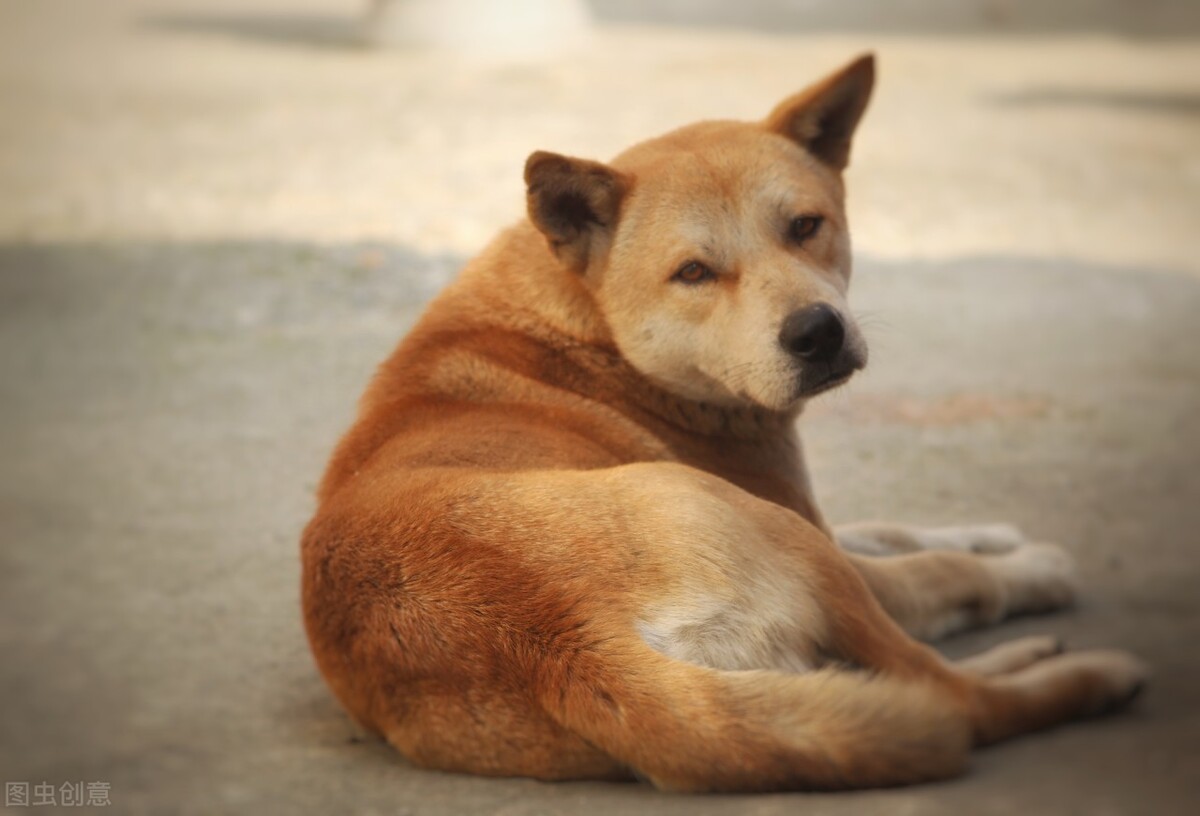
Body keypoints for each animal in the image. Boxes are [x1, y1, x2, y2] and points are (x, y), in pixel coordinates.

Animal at [300, 52, 1142, 792]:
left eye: (805, 226)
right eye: (694, 273)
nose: (817, 333)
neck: (590, 328)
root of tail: (561, 642)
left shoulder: (814, 513)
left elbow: (898, 528)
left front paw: (992, 534)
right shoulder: (818, 533)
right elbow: (942, 571)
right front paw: (1033, 569)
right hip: (784, 542)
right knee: (954, 700)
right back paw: (1079, 672)